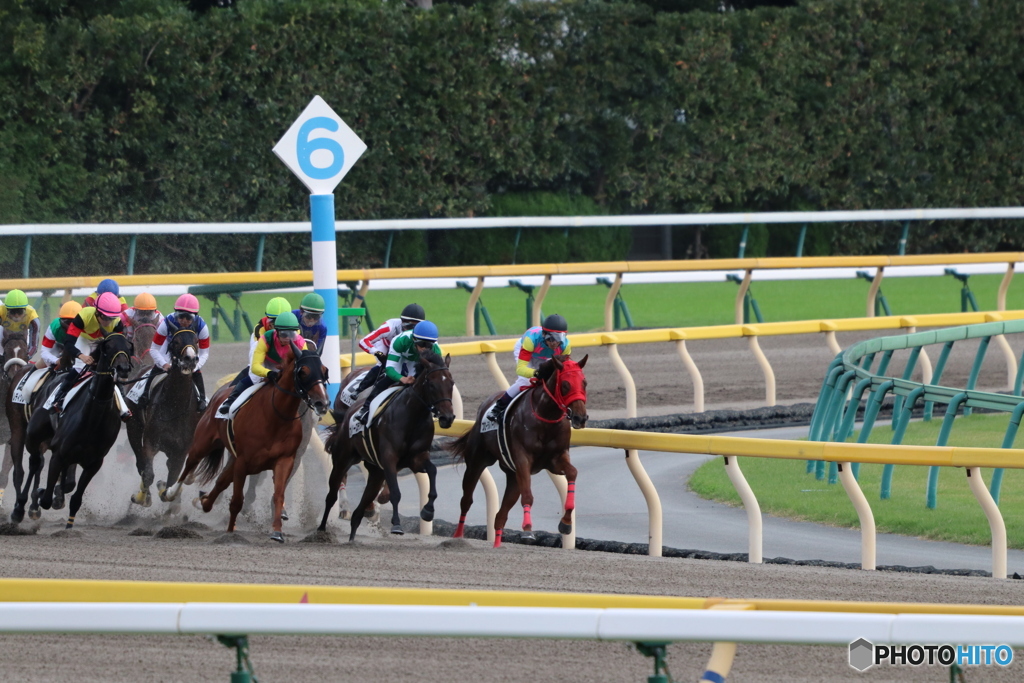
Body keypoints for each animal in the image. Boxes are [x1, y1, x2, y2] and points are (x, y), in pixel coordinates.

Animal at [24, 333, 136, 528]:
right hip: (34, 434)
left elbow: (75, 498)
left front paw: (69, 525)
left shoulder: (94, 463)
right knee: (35, 462)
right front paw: (42, 494)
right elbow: (45, 498)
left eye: (128, 347)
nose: (122, 368)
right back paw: (20, 508)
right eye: (108, 347)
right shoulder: (58, 454)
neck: (93, 417)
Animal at [124, 327, 200, 509]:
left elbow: (170, 485)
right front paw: (142, 498)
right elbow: (148, 474)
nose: (190, 359)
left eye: (196, 341)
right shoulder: (151, 442)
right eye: (176, 342)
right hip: (134, 428)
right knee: (140, 464)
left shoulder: (180, 450)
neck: (174, 406)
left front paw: (166, 490)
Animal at [162, 344, 327, 540]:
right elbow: (236, 501)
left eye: (325, 370)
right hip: (202, 444)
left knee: (221, 481)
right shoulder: (243, 460)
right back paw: (171, 493)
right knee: (189, 465)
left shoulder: (285, 460)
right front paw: (230, 532)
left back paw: (204, 501)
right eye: (303, 371)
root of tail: (220, 392)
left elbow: (278, 495)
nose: (322, 403)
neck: (276, 418)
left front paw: (277, 532)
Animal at [315, 352, 452, 540]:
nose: (448, 417)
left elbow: (432, 471)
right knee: (334, 490)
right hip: (344, 457)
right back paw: (328, 523)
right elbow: (395, 491)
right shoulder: (388, 457)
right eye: (432, 384)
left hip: (373, 467)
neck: (412, 417)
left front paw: (428, 511)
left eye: (451, 383)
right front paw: (396, 524)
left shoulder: (417, 458)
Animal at [450, 356, 589, 548]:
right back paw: (457, 536)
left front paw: (566, 523)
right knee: (466, 500)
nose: (580, 418)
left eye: (584, 382)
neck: (546, 418)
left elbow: (573, 473)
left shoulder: (555, 459)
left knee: (500, 515)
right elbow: (528, 496)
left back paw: (497, 544)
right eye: (565, 384)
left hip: (512, 476)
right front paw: (528, 530)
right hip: (476, 463)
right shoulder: (523, 459)